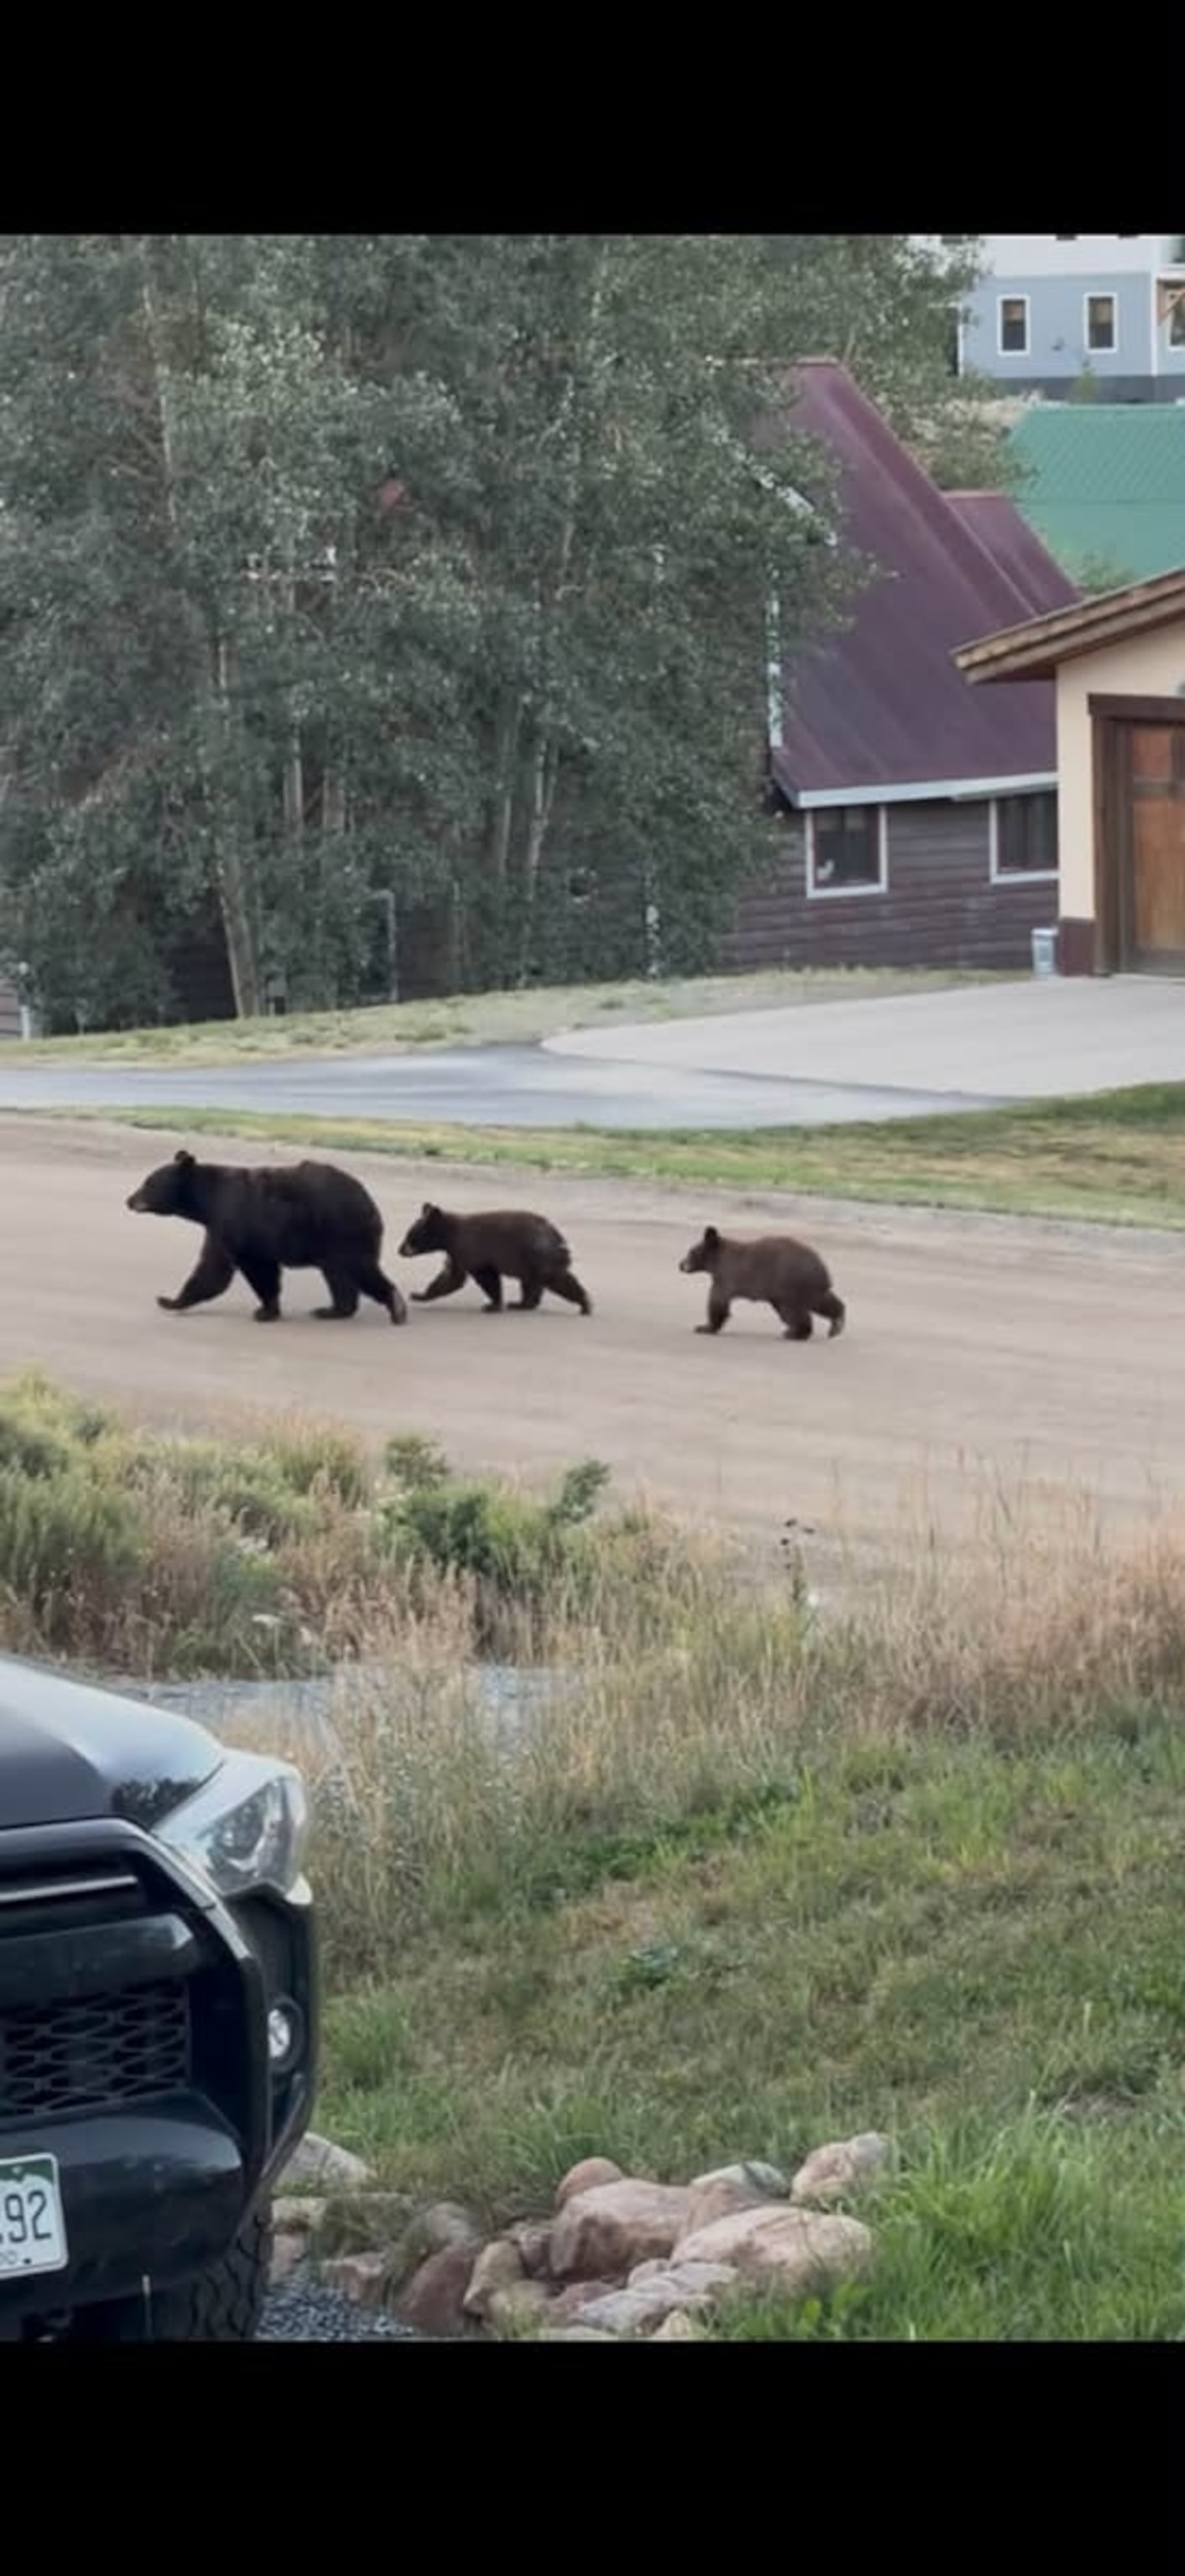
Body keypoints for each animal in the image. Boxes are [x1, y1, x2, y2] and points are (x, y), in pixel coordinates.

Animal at [126, 1148, 408, 1326]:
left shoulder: (237, 1222)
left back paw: (396, 1306)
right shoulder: (219, 1228)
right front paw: (171, 1301)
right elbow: (213, 1268)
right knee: (338, 1276)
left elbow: (251, 1269)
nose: (129, 1200)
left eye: (148, 1183)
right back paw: (332, 1310)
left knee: (359, 1268)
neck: (208, 1201)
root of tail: (369, 1201)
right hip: (333, 1242)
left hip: (341, 1231)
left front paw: (265, 1311)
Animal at [397, 1202, 593, 1315]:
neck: (450, 1235)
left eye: (410, 1236)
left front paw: (492, 1305)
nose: (399, 1250)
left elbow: (485, 1277)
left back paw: (585, 1304)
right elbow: (450, 1277)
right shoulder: (457, 1254)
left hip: (538, 1256)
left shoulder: (470, 1248)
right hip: (529, 1261)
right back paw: (521, 1304)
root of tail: (558, 1236)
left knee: (557, 1279)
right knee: (531, 1283)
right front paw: (419, 1295)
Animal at [678, 1223, 846, 1342]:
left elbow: (718, 1301)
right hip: (805, 1287)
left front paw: (704, 1327)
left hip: (790, 1286)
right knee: (822, 1301)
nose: (680, 1265)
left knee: (794, 1311)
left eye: (690, 1252)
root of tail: (822, 1267)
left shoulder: (726, 1277)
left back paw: (795, 1333)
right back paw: (836, 1324)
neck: (718, 1260)